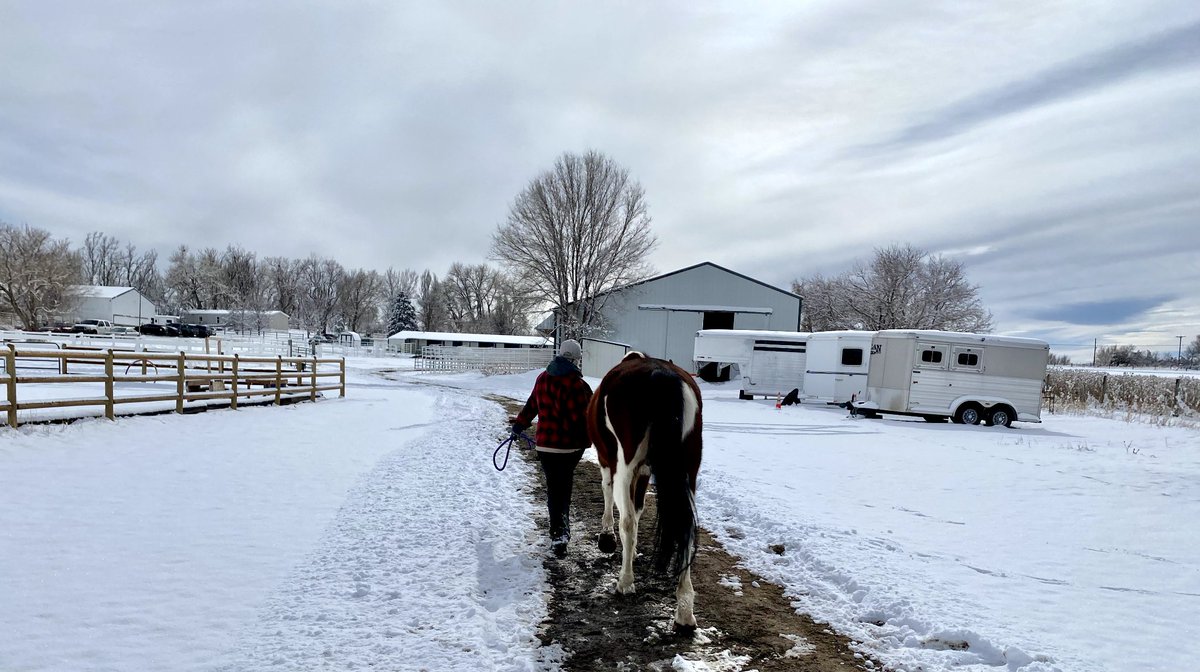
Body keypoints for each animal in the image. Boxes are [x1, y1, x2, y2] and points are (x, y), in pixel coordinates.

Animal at [587, 351, 703, 632]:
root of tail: (660, 375)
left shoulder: (608, 461)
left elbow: (612, 496)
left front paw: (607, 538)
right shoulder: (645, 472)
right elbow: (639, 509)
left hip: (625, 464)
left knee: (627, 519)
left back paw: (625, 582)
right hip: (689, 469)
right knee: (687, 527)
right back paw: (684, 610)